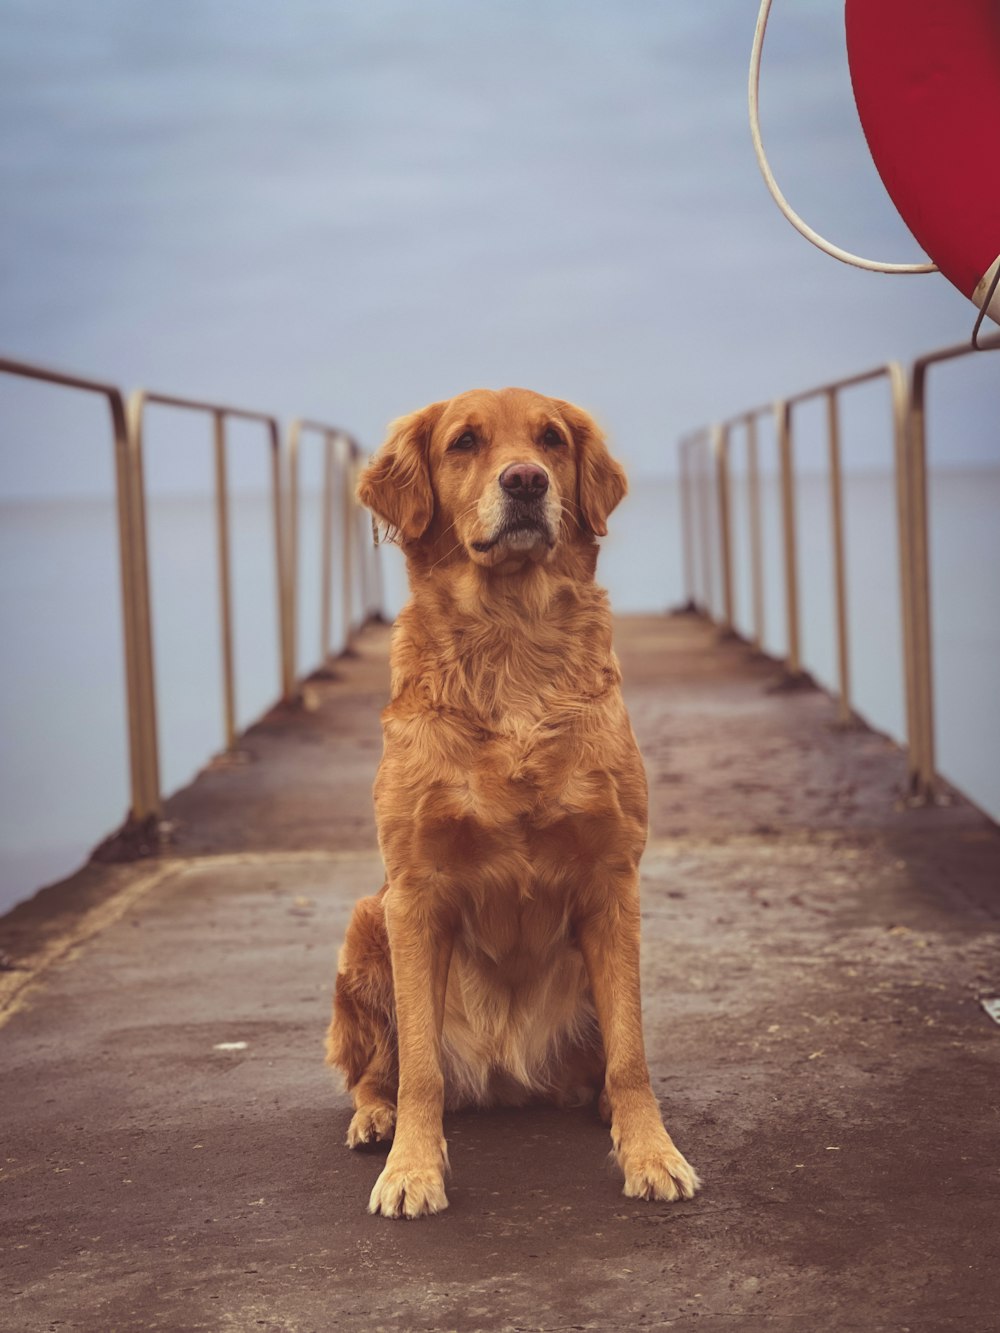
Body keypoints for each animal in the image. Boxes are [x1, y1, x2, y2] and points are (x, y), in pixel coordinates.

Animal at [325, 389, 698, 1221]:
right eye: (465, 441)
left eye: (551, 439)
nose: (526, 480)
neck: (511, 640)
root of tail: (501, 1077)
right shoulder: (413, 890)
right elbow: (421, 1067)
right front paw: (412, 1168)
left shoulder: (613, 879)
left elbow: (632, 1055)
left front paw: (651, 1150)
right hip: (367, 920)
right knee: (377, 1071)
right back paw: (376, 1117)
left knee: (604, 1061)